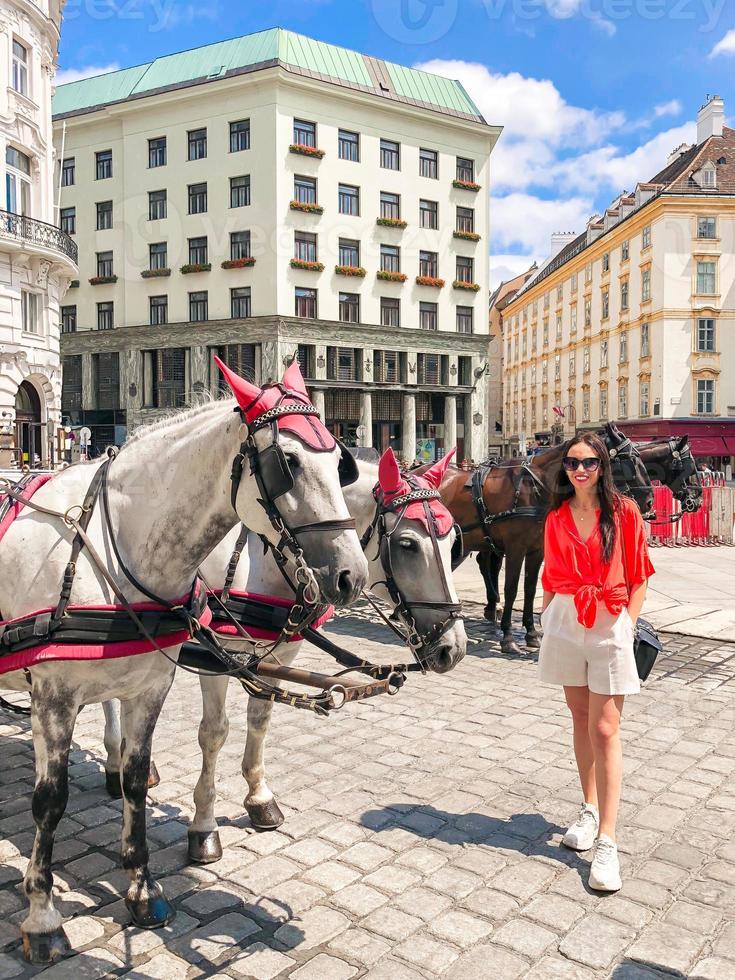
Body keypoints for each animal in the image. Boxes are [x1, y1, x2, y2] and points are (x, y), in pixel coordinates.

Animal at [0, 360, 368, 964]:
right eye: (287, 463)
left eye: (339, 462)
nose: (350, 576)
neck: (119, 546)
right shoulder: (52, 698)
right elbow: (49, 803)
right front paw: (42, 915)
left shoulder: (150, 686)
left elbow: (134, 781)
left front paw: (142, 889)